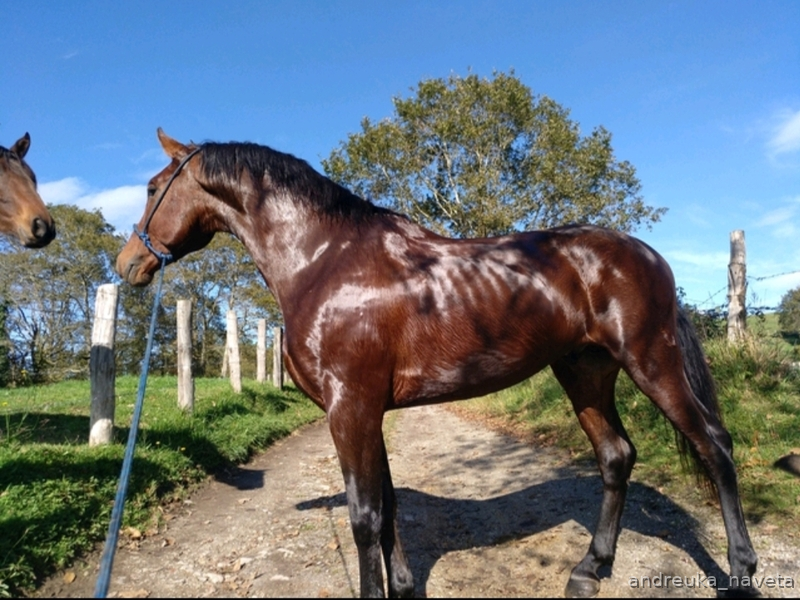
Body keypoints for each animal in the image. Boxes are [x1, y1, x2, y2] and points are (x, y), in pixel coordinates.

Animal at [117, 129, 758, 598]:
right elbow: (388, 507)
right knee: (616, 457)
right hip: (586, 372)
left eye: (151, 188)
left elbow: (364, 517)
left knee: (714, 446)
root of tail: (647, 254)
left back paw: (741, 570)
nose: (127, 265)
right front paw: (403, 586)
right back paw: (589, 569)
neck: (325, 261)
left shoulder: (350, 408)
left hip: (651, 360)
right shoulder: (367, 411)